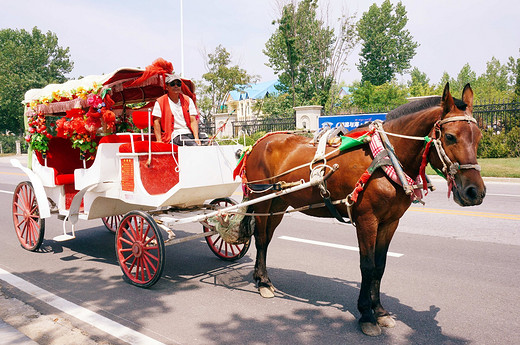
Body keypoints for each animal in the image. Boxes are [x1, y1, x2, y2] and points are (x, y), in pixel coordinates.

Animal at [242, 84, 486, 336]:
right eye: (450, 136)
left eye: (479, 136)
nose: (474, 192)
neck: (387, 156)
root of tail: (259, 142)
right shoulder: (367, 220)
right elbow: (367, 266)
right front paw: (366, 314)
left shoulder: (390, 222)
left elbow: (380, 266)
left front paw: (379, 311)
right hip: (261, 199)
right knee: (261, 238)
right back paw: (263, 282)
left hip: (279, 202)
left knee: (266, 238)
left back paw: (261, 277)